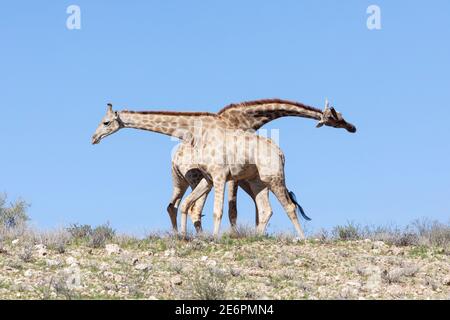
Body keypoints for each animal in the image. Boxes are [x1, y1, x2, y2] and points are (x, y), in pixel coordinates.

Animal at [169, 97, 356, 232]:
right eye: (336, 118)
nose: (352, 127)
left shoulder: (235, 176)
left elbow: (239, 209)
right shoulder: (229, 176)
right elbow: (230, 209)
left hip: (185, 181)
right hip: (204, 179)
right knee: (190, 208)